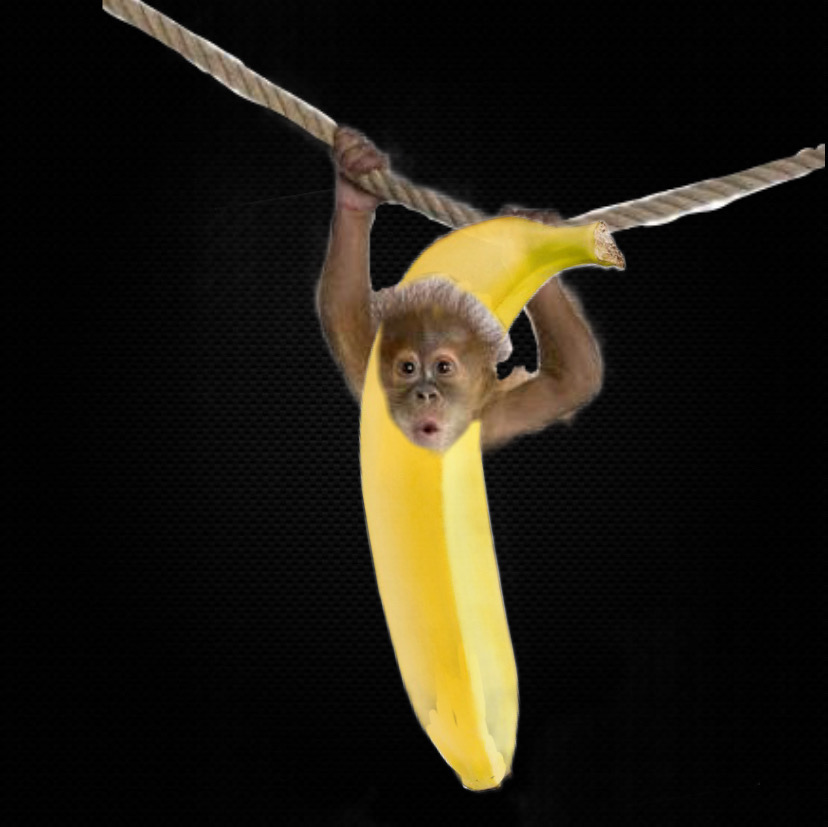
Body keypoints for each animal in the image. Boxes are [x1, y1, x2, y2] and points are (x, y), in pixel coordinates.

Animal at [316, 127, 604, 453]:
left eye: (443, 368)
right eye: (408, 368)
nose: (426, 394)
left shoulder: (496, 415)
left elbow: (571, 381)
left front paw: (532, 241)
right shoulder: (373, 380)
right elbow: (342, 310)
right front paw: (356, 185)